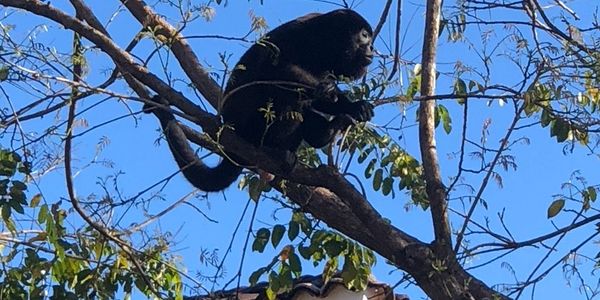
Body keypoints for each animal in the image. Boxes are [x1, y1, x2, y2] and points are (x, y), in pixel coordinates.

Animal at [145, 9, 372, 192]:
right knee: (282, 95)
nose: (371, 49)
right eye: (364, 36)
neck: (326, 45)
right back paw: (274, 148)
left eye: (369, 39)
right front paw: (327, 91)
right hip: (251, 123)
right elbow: (273, 68)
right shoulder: (302, 33)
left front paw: (353, 107)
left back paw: (325, 134)